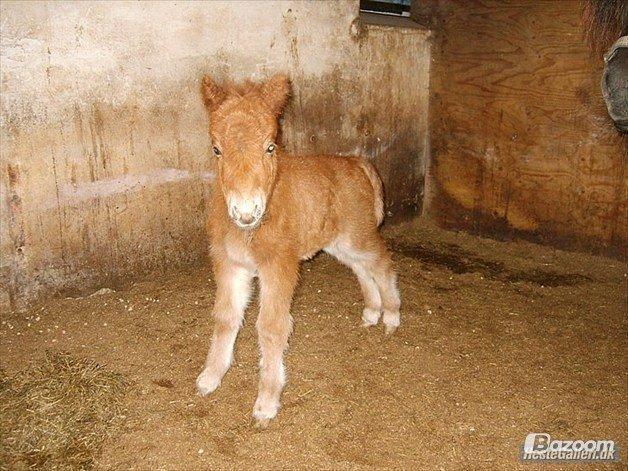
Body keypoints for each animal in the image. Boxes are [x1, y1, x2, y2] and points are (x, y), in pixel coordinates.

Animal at [196, 73, 402, 428]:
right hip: (338, 243)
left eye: (270, 146)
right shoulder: (230, 263)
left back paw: (390, 316)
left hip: (357, 235)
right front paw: (211, 377)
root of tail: (359, 162)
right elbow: (226, 316)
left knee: (382, 264)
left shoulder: (279, 264)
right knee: (363, 269)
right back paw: (372, 312)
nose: (246, 212)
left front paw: (266, 402)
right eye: (216, 149)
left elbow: (271, 326)